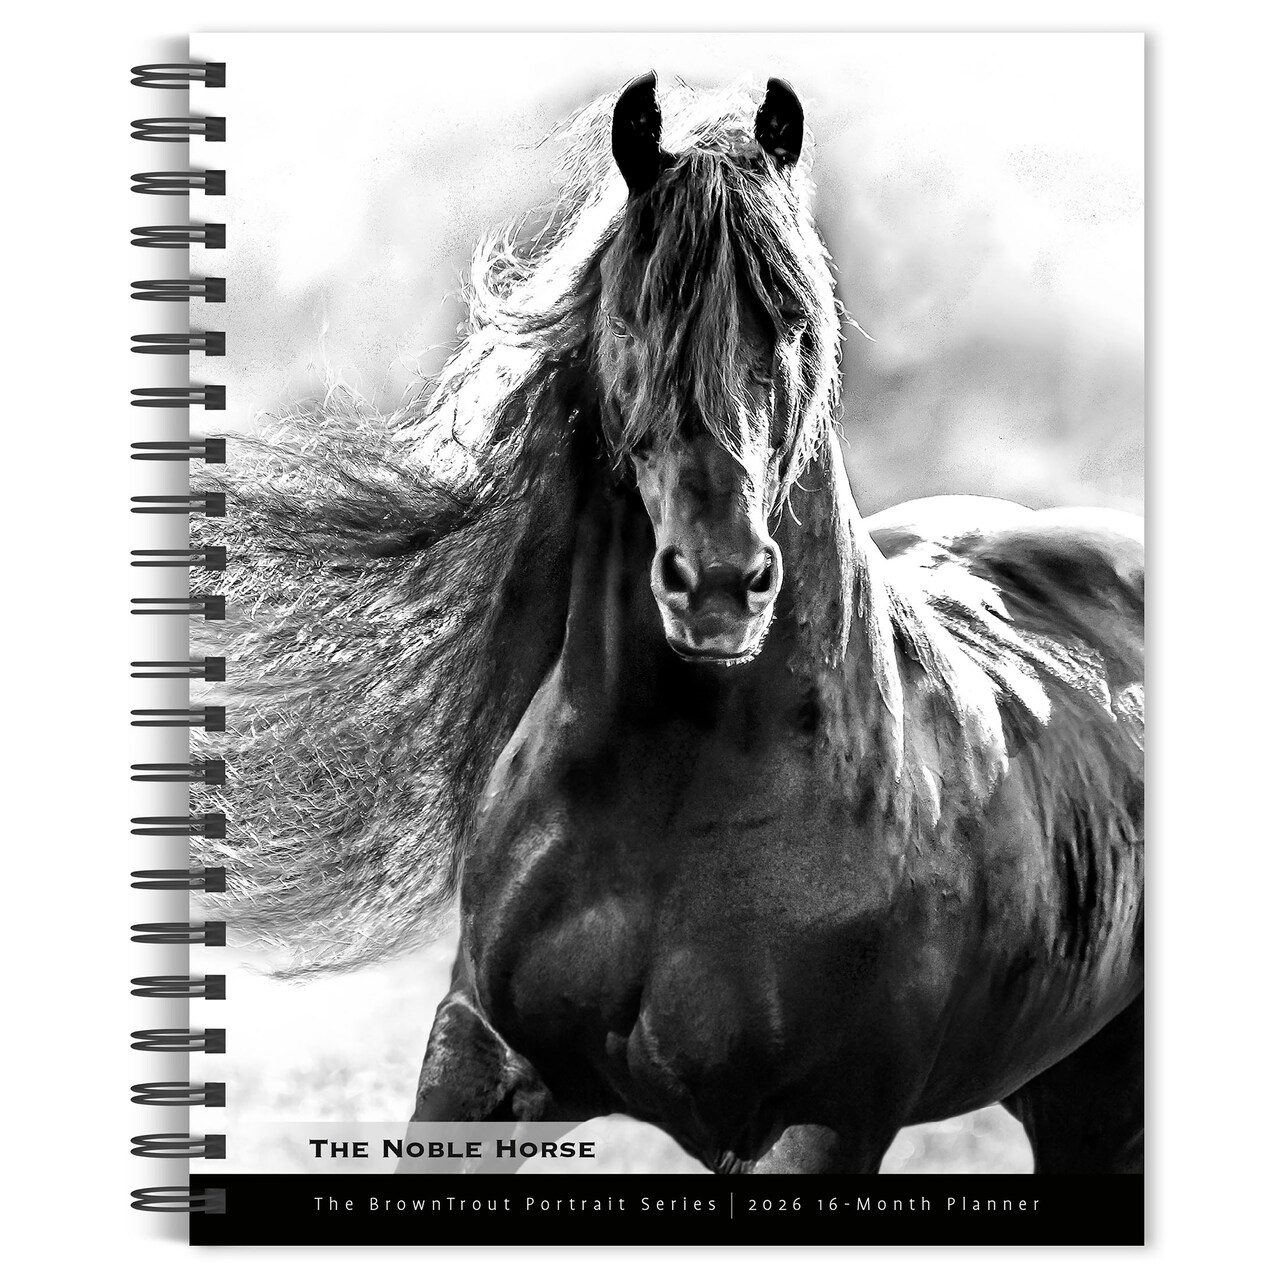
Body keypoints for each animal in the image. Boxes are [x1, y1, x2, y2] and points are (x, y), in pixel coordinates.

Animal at [197, 74, 1144, 1175]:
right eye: (635, 313)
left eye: (792, 319)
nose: (720, 584)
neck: (677, 798)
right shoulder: (484, 1053)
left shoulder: (815, 1121)